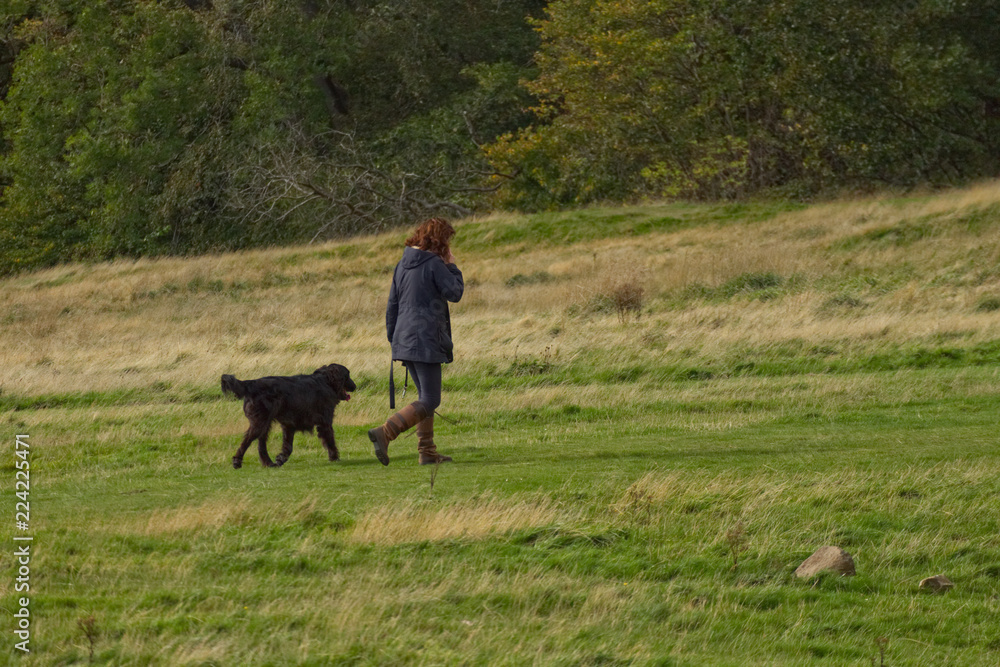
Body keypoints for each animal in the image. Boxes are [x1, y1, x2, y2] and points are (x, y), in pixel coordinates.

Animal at [222, 366, 356, 470]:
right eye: (347, 375)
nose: (355, 386)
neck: (326, 381)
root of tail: (251, 383)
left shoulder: (289, 425)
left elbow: (288, 447)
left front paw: (281, 458)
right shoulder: (325, 422)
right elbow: (330, 441)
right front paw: (335, 457)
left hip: (264, 425)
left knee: (261, 445)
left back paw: (268, 463)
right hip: (259, 424)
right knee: (247, 441)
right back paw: (237, 461)